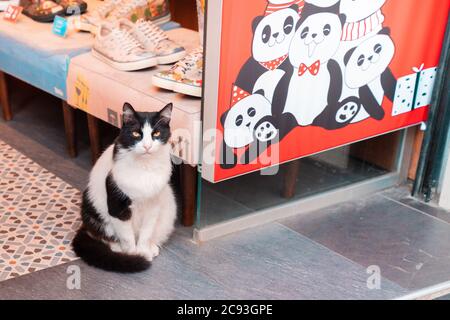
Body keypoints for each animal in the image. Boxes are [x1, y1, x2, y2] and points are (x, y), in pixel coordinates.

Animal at [72, 102, 176, 272]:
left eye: (156, 133)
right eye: (136, 134)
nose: (147, 146)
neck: (144, 167)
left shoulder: (153, 205)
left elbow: (146, 232)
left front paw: (143, 250)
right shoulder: (118, 205)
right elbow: (127, 237)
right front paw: (134, 257)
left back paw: (152, 247)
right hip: (91, 207)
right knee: (106, 237)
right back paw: (119, 250)